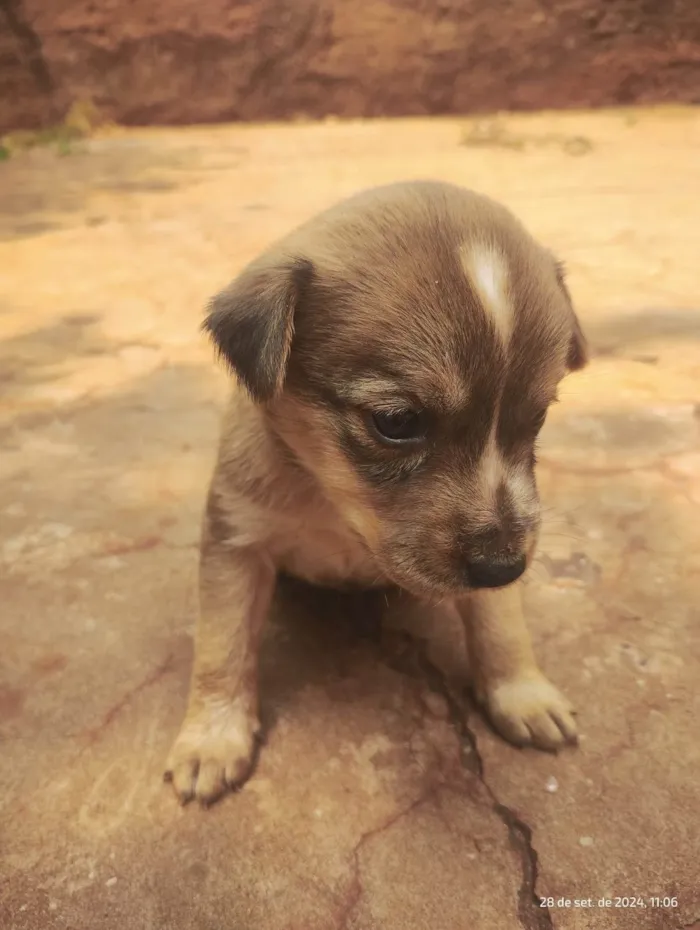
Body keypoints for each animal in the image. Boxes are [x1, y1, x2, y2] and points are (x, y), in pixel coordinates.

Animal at [167, 181, 588, 804]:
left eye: (536, 418)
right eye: (397, 421)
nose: (503, 568)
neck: (334, 503)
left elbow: (501, 624)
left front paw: (523, 692)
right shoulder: (235, 541)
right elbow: (222, 646)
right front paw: (211, 739)